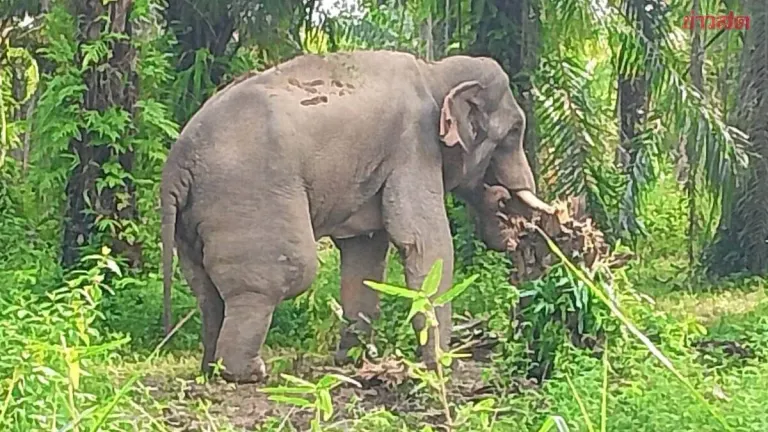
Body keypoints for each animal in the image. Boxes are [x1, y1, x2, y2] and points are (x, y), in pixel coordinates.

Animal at [160, 49, 554, 384]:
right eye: (514, 132)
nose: (504, 201)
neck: (435, 71)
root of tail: (178, 162)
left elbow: (364, 251)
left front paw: (354, 361)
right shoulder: (414, 146)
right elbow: (424, 242)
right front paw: (441, 365)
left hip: (193, 219)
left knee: (207, 290)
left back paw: (209, 370)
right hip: (249, 196)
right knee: (280, 276)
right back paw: (248, 373)